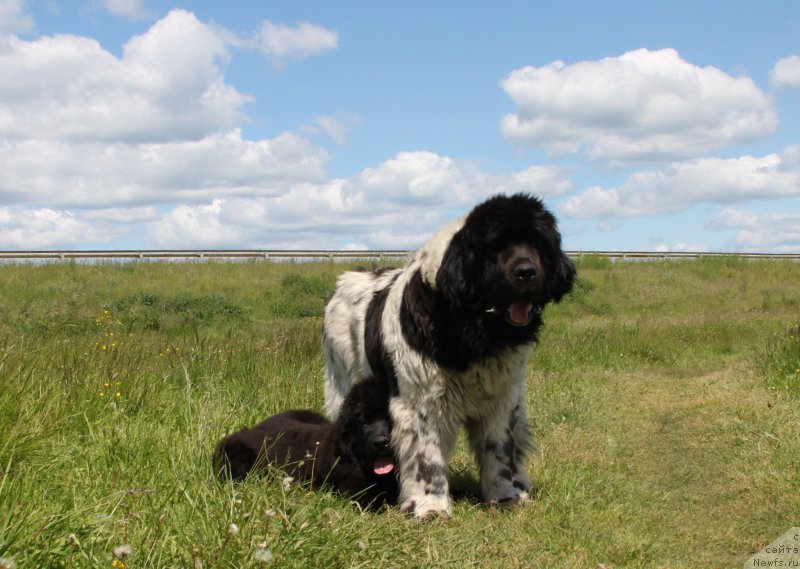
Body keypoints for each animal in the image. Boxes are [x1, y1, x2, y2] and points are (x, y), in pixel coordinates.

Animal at [322, 193, 580, 516]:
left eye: (538, 244)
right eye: (496, 247)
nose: (526, 272)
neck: (472, 331)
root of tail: (345, 280)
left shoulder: (502, 399)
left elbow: (500, 450)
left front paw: (506, 495)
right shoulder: (420, 400)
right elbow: (425, 456)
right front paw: (430, 506)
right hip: (343, 383)